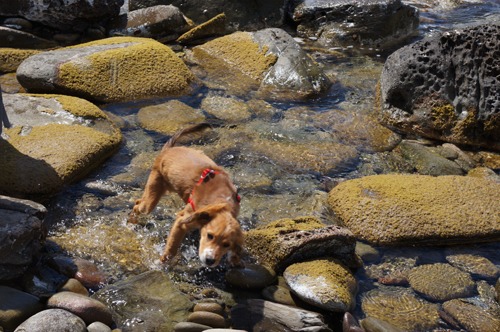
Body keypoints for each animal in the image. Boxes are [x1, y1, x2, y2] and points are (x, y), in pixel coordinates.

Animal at [130, 123, 243, 268]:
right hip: (151, 197)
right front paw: (161, 264)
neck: (223, 201)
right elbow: (171, 249)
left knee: (138, 201)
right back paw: (131, 221)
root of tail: (168, 150)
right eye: (210, 236)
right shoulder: (181, 222)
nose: (210, 261)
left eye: (226, 245)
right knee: (137, 205)